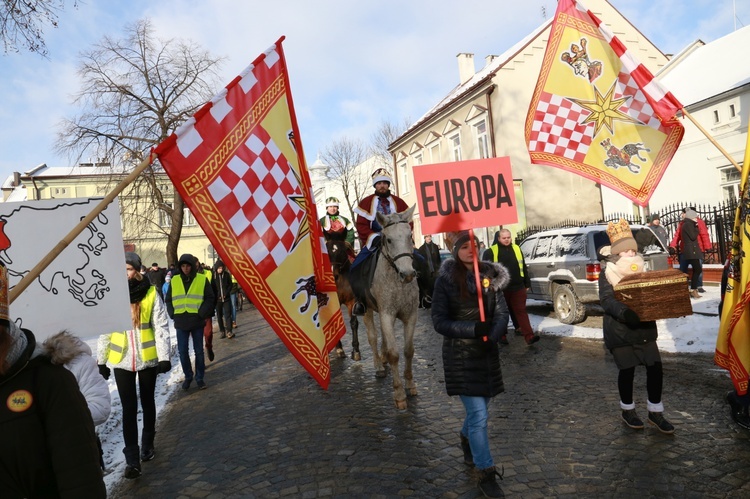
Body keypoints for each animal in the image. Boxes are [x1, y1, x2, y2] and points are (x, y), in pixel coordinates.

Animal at [364, 206, 424, 410]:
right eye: (388, 239)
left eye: (409, 235)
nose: (408, 274)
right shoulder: (386, 315)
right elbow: (394, 354)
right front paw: (399, 394)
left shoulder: (411, 315)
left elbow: (408, 351)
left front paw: (410, 384)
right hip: (365, 310)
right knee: (373, 337)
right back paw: (378, 365)